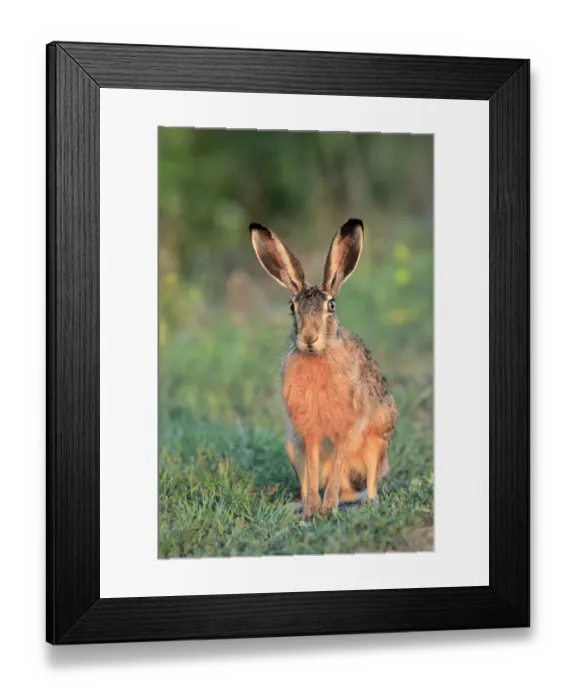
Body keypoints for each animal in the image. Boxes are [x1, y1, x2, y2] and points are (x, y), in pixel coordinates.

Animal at [250, 219, 398, 519]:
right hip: (291, 446)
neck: (319, 355)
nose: (309, 337)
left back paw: (362, 503)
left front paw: (328, 508)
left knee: (370, 483)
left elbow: (339, 458)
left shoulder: (346, 426)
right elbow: (313, 464)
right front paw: (313, 510)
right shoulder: (308, 433)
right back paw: (300, 506)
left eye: (331, 305)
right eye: (291, 306)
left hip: (376, 442)